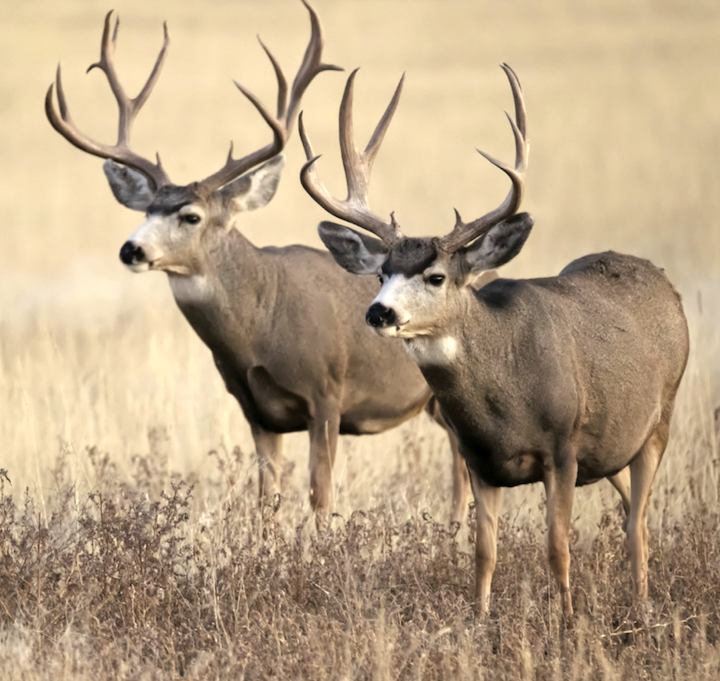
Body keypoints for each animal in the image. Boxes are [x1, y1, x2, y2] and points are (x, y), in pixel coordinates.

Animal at [45, 1, 480, 528]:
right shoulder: (255, 411)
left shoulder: (327, 395)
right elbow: (265, 501)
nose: (132, 250)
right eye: (146, 210)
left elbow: (320, 497)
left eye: (191, 216)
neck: (260, 325)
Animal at [298, 64, 690, 617]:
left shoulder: (563, 449)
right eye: (380, 273)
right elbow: (483, 551)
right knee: (633, 512)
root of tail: (665, 284)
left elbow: (557, 546)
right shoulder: (479, 459)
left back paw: (642, 607)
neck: (504, 399)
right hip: (616, 443)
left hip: (661, 419)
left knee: (638, 525)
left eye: (436, 276)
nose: (379, 312)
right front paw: (479, 619)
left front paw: (567, 620)